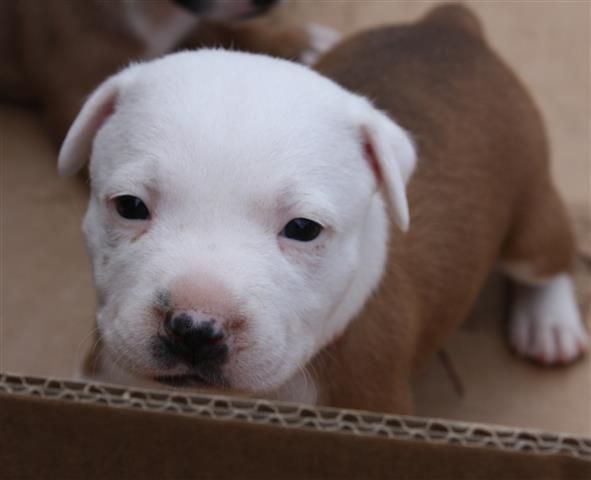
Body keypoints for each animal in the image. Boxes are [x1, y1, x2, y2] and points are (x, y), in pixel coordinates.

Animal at [58, 4, 588, 413]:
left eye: (303, 229)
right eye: (130, 206)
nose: (195, 327)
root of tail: (451, 24)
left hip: (530, 211)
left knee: (551, 254)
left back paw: (549, 324)